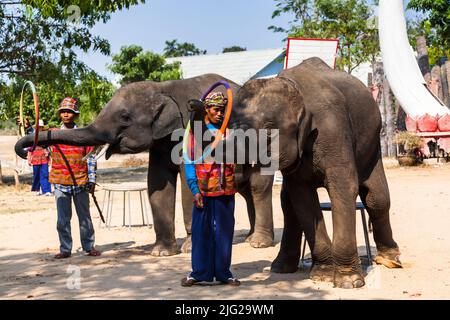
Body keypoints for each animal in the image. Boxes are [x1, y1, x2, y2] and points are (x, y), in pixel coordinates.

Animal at [14, 74, 274, 256]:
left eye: (125, 117)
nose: (29, 147)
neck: (162, 89)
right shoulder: (160, 143)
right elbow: (157, 184)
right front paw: (160, 253)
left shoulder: (190, 131)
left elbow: (188, 181)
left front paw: (190, 248)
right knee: (246, 190)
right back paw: (249, 239)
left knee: (258, 187)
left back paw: (259, 244)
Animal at [227, 58, 402, 290]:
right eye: (230, 126)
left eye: (269, 129)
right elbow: (302, 198)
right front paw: (323, 276)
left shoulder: (334, 128)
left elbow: (343, 189)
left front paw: (349, 282)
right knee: (288, 203)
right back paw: (281, 267)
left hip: (373, 144)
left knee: (377, 198)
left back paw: (391, 259)